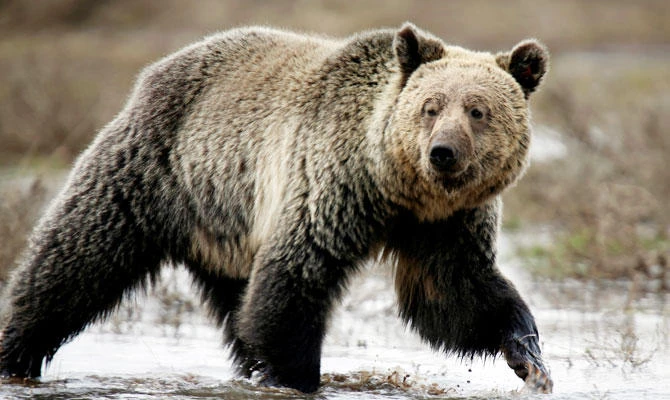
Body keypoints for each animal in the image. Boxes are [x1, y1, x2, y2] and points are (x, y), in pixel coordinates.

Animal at [0, 23, 551, 393]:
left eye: (478, 111)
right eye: (430, 107)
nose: (443, 152)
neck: (398, 188)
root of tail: (158, 67)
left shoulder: (445, 224)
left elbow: (454, 294)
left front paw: (529, 354)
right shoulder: (330, 185)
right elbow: (295, 278)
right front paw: (296, 375)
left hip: (226, 224)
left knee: (237, 304)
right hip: (155, 171)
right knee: (75, 259)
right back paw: (16, 351)